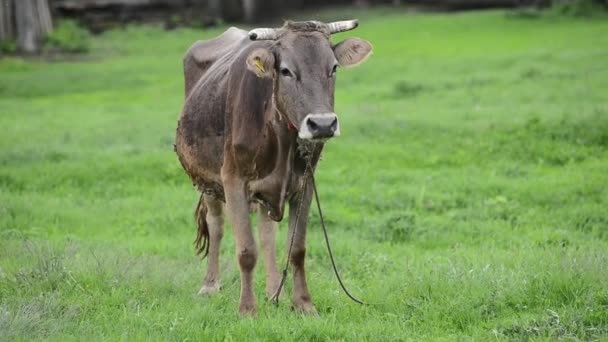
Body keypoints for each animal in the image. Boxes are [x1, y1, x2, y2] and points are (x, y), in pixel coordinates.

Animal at [175, 19, 370, 316]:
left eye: (334, 67)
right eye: (286, 70)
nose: (323, 124)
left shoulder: (305, 183)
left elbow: (296, 248)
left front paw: (304, 305)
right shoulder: (233, 179)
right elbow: (246, 250)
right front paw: (247, 309)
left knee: (267, 233)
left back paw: (272, 291)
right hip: (206, 180)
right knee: (216, 224)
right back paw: (210, 286)